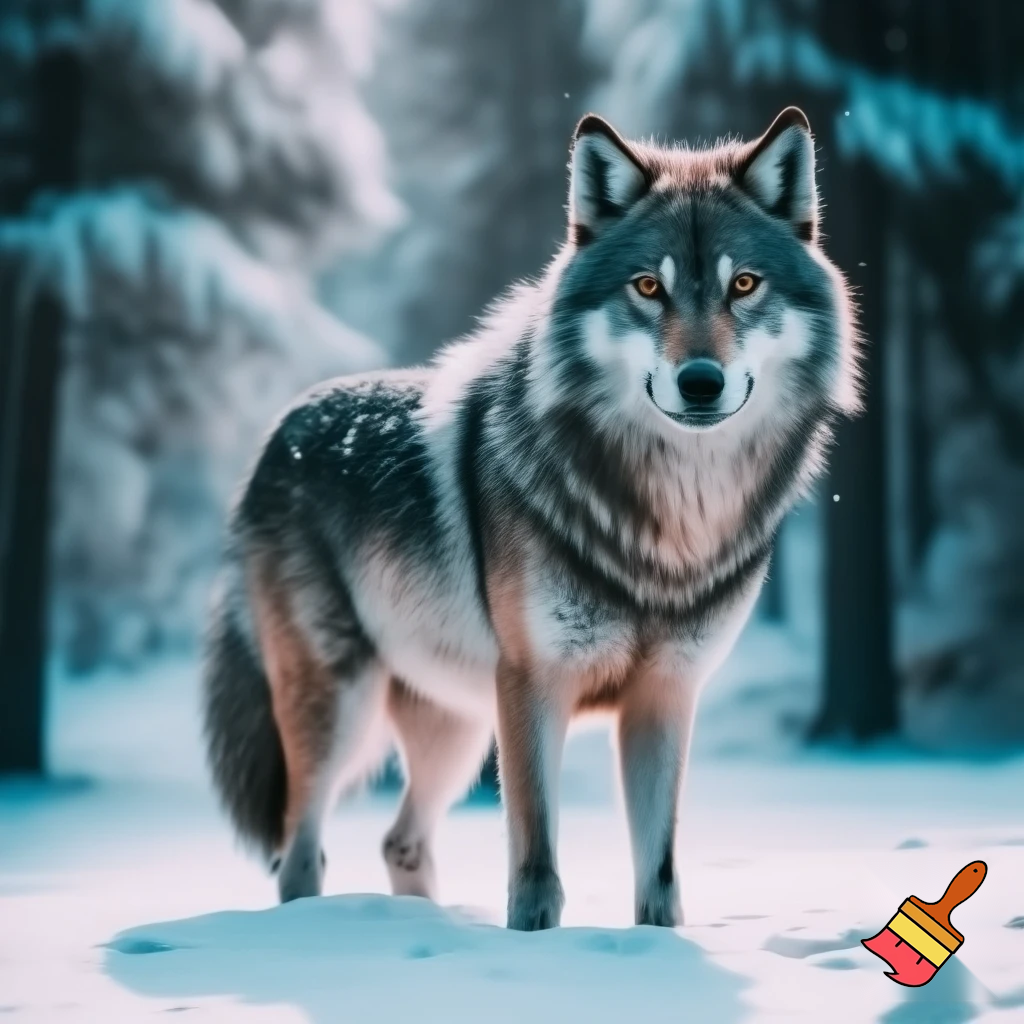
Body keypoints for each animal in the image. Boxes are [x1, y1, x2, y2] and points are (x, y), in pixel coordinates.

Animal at [203, 106, 859, 930]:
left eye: (743, 284)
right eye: (649, 287)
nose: (700, 382)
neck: (670, 525)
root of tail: (277, 432)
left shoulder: (666, 695)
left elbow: (660, 874)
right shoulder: (533, 685)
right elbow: (537, 864)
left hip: (453, 727)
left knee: (398, 841)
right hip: (344, 709)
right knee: (301, 855)